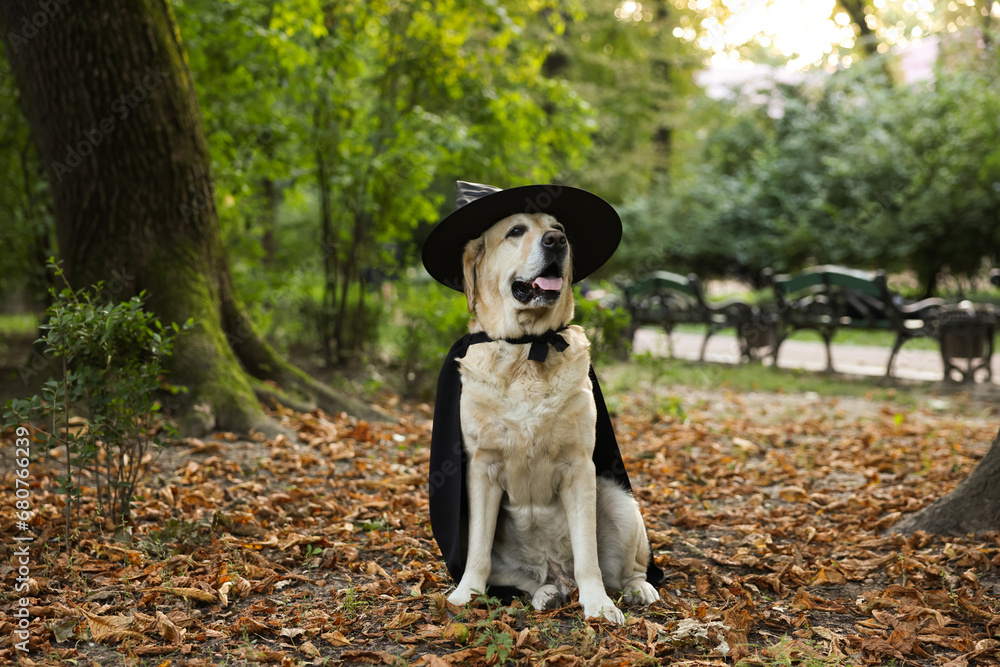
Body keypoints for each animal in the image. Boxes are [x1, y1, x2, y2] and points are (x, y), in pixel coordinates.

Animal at [446, 211, 656, 624]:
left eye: (559, 228)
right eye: (515, 231)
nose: (556, 241)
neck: (528, 349)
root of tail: (556, 570)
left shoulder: (579, 467)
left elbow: (588, 555)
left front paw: (599, 605)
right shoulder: (482, 469)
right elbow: (477, 550)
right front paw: (468, 594)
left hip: (619, 502)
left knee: (624, 570)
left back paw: (637, 588)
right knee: (527, 579)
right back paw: (545, 593)